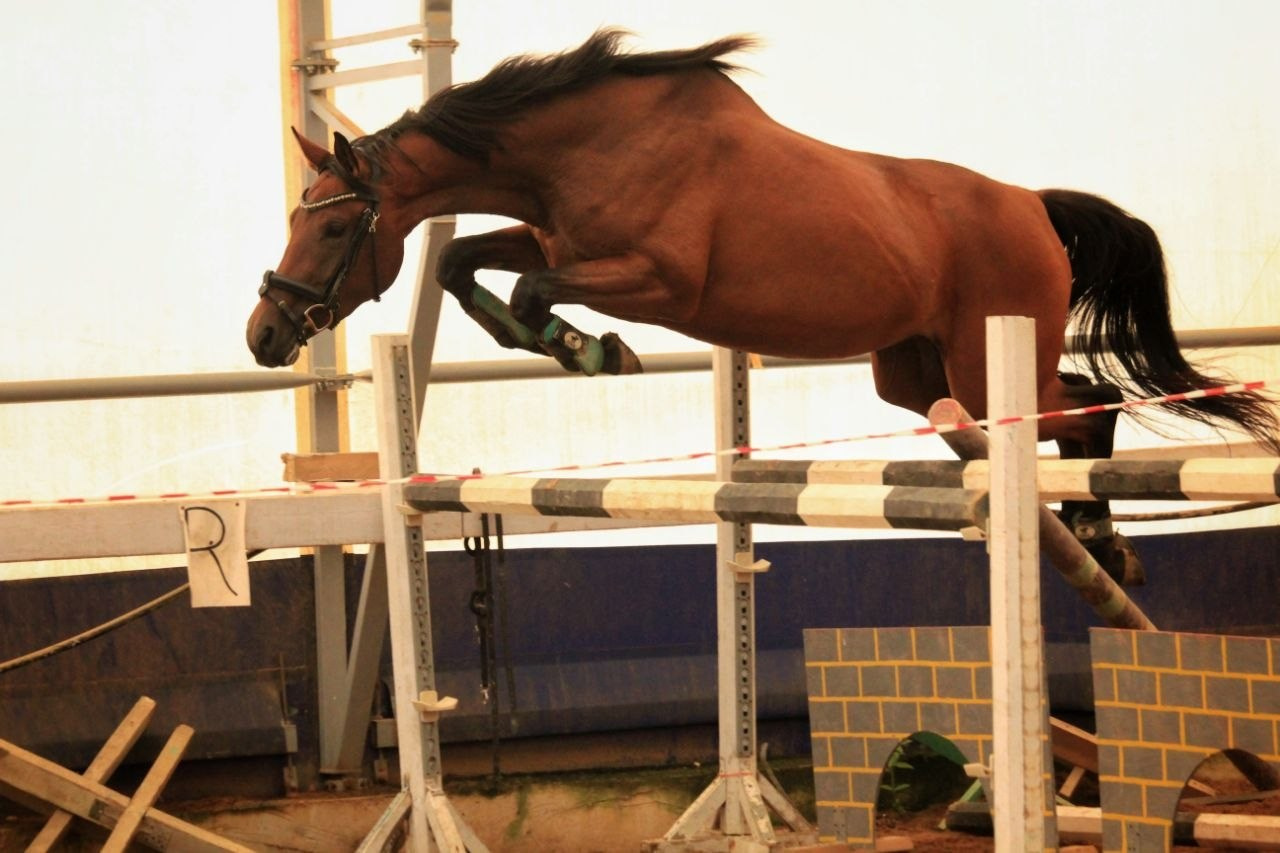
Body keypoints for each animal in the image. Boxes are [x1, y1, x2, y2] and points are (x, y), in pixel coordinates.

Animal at [248, 29, 1278, 583]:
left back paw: (1100, 540)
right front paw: (561, 342)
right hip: (917, 374)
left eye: (331, 232)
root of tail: (1031, 202)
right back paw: (1092, 537)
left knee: (1080, 411)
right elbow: (463, 262)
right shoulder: (553, 240)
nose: (264, 334)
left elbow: (533, 289)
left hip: (983, 362)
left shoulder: (656, 278)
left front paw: (588, 348)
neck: (583, 146)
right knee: (1066, 406)